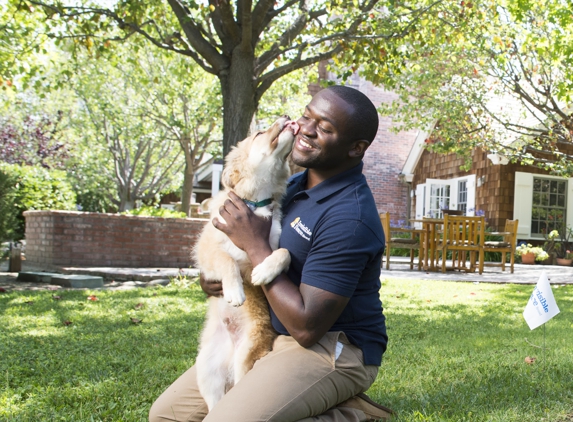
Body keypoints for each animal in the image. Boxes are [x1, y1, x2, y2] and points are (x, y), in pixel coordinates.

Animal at [193, 115, 300, 412]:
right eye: (260, 133)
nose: (287, 117)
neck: (255, 203)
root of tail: (229, 355)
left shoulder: (265, 247)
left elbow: (284, 252)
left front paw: (264, 273)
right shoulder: (207, 250)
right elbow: (227, 259)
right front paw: (234, 292)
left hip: (246, 360)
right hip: (206, 371)